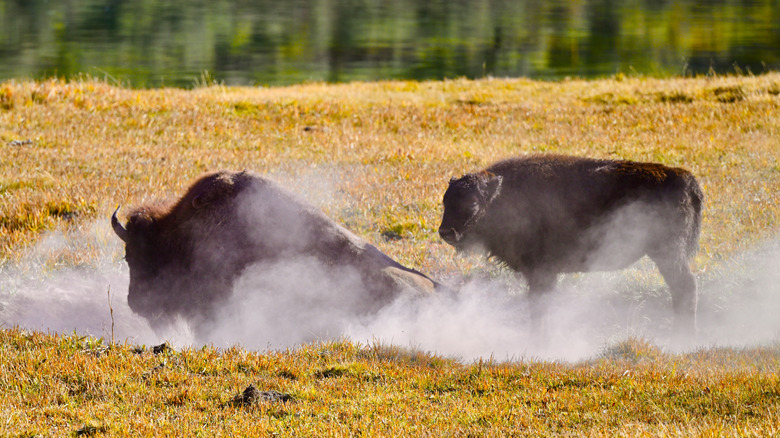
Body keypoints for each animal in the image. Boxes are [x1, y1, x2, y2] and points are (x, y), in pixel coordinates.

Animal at [438, 154, 703, 333]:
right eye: (445, 201)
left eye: (472, 204)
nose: (445, 232)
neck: (500, 196)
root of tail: (685, 178)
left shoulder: (541, 271)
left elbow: (539, 305)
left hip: (668, 253)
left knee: (685, 286)